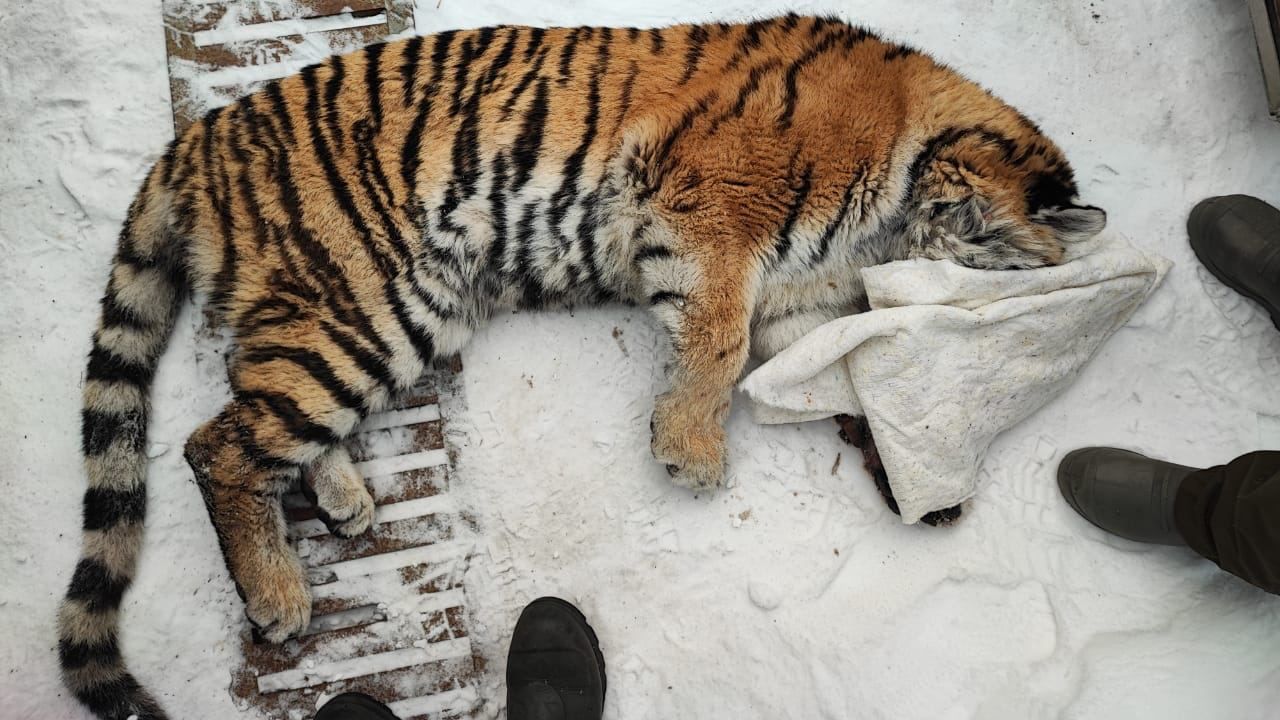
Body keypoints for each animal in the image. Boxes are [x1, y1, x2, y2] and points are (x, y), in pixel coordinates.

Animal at [55, 14, 1105, 712]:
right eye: (978, 236)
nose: (931, 268)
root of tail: (197, 140)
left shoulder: (795, 301)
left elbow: (833, 372)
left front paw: (916, 480)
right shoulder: (714, 213)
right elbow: (716, 341)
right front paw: (690, 452)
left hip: (392, 310)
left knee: (255, 404)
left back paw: (343, 496)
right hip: (368, 297)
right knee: (216, 443)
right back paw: (279, 595)